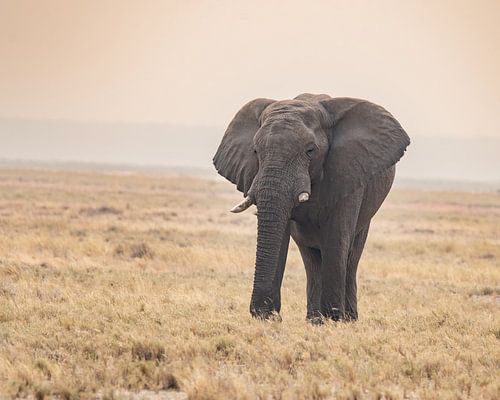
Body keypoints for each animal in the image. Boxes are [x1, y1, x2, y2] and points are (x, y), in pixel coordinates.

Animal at [213, 92, 408, 324]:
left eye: (310, 151)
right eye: (255, 151)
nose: (260, 313)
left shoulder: (348, 173)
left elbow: (337, 239)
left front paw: (335, 320)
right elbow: (281, 236)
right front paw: (268, 317)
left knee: (351, 256)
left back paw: (347, 319)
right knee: (311, 258)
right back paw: (314, 320)